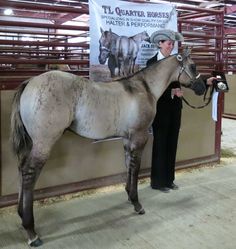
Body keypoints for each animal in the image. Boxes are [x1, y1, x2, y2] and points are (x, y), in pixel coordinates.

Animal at [10, 47, 206, 247]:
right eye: (193, 66)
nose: (202, 87)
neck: (144, 88)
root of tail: (30, 82)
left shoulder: (127, 139)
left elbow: (128, 166)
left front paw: (129, 196)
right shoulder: (140, 137)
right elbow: (135, 168)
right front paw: (137, 204)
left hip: (32, 144)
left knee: (21, 169)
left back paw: (21, 215)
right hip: (43, 143)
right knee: (29, 174)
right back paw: (31, 232)